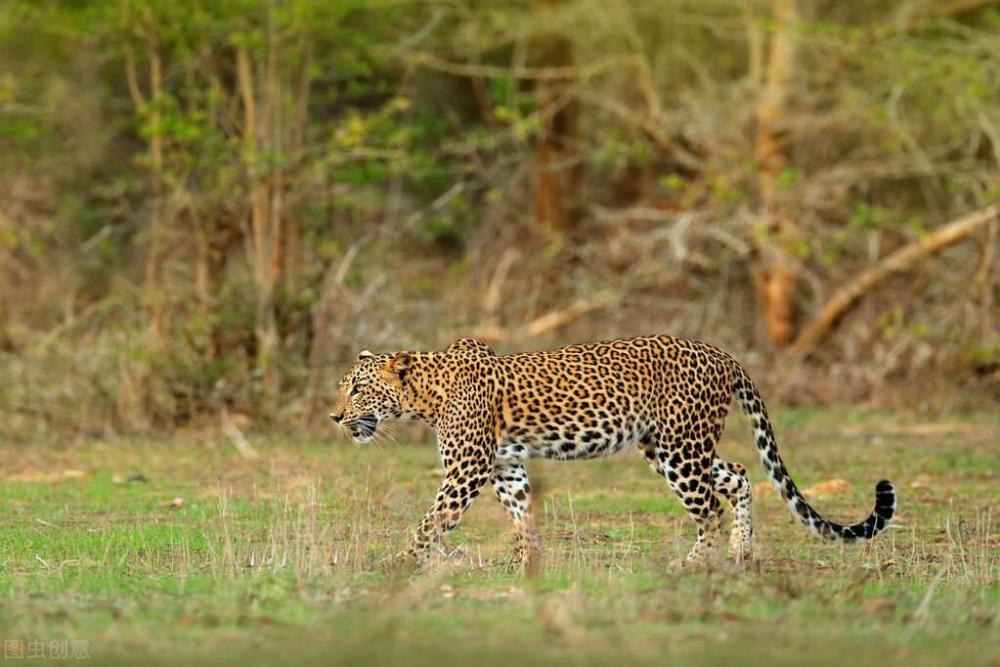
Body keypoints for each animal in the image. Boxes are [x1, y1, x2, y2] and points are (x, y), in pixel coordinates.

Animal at [330, 336, 900, 572]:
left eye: (357, 389)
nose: (335, 417)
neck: (422, 396)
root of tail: (724, 354)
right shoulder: (505, 466)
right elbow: (520, 515)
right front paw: (528, 563)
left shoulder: (467, 468)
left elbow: (430, 521)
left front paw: (398, 563)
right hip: (672, 446)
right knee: (738, 475)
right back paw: (740, 555)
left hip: (682, 448)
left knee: (710, 509)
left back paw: (695, 565)